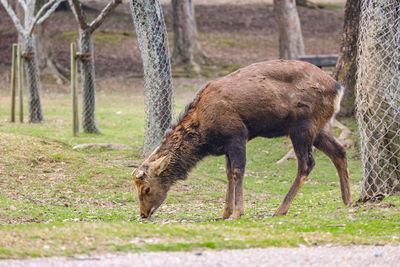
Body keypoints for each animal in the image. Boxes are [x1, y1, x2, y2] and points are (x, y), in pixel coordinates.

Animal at [131, 60, 350, 220]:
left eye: (146, 188)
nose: (143, 214)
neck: (205, 132)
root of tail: (338, 87)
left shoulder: (237, 134)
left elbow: (238, 171)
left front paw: (238, 212)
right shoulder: (226, 145)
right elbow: (228, 173)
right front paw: (224, 213)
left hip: (302, 126)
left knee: (307, 163)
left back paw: (280, 209)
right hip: (319, 127)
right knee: (339, 151)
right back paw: (347, 200)